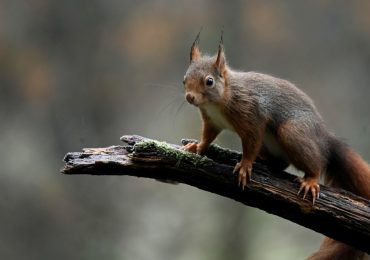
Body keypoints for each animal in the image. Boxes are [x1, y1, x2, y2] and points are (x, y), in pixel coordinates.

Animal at [182, 33, 370, 260]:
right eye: (184, 79)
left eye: (209, 81)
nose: (189, 97)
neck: (221, 98)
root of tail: (324, 139)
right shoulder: (212, 121)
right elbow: (207, 137)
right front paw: (196, 147)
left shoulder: (252, 116)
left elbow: (251, 142)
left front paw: (245, 165)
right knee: (280, 163)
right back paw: (265, 161)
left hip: (292, 133)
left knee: (314, 162)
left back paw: (310, 179)